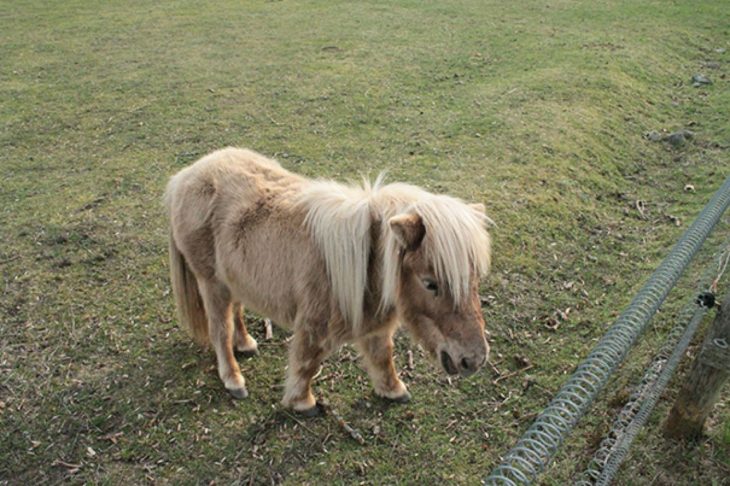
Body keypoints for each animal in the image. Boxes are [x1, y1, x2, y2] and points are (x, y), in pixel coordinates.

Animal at [164, 147, 492, 414]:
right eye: (430, 283)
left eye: (474, 278)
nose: (474, 360)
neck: (364, 260)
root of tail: (185, 176)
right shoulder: (313, 324)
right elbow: (307, 361)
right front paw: (302, 402)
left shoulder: (375, 325)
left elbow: (383, 357)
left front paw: (393, 390)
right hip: (211, 283)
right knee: (220, 329)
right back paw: (233, 379)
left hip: (233, 280)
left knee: (236, 312)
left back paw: (245, 344)